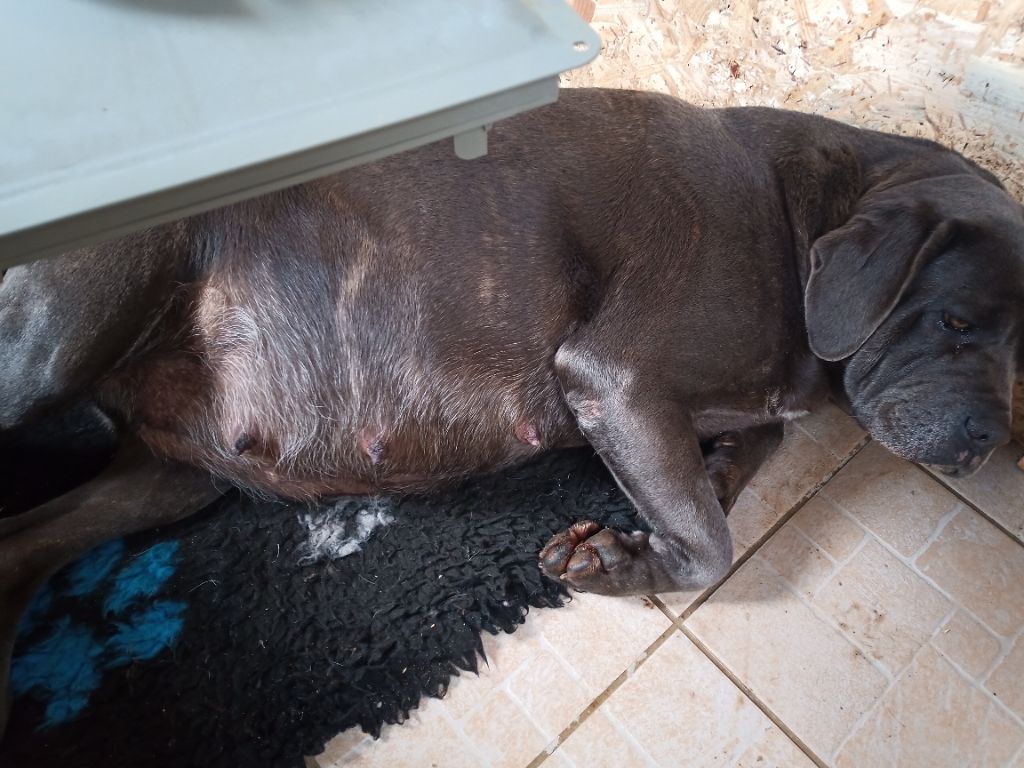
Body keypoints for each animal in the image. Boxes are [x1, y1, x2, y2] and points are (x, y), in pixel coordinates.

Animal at [2, 87, 1024, 729]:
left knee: (26, 545)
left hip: (170, 479)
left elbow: (738, 464)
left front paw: (655, 523)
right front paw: (621, 560)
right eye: (956, 321)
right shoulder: (616, 376)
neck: (805, 215)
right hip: (63, 334)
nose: (988, 439)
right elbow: (710, 546)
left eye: (1019, 349)